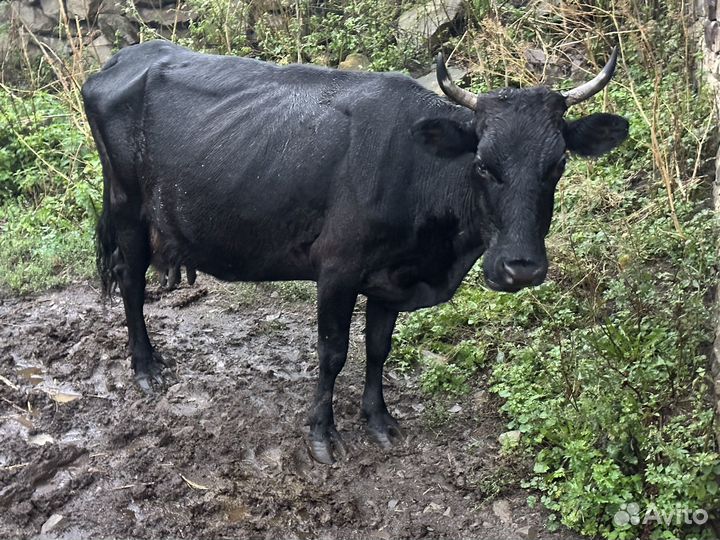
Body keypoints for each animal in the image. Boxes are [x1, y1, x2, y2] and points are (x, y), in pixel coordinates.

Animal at [82, 41, 629, 464]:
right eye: (482, 164)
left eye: (557, 165)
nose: (521, 268)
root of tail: (125, 57)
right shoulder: (337, 270)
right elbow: (333, 353)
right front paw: (322, 435)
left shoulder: (392, 279)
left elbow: (377, 349)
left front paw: (379, 420)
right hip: (128, 210)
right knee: (130, 283)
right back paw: (146, 368)